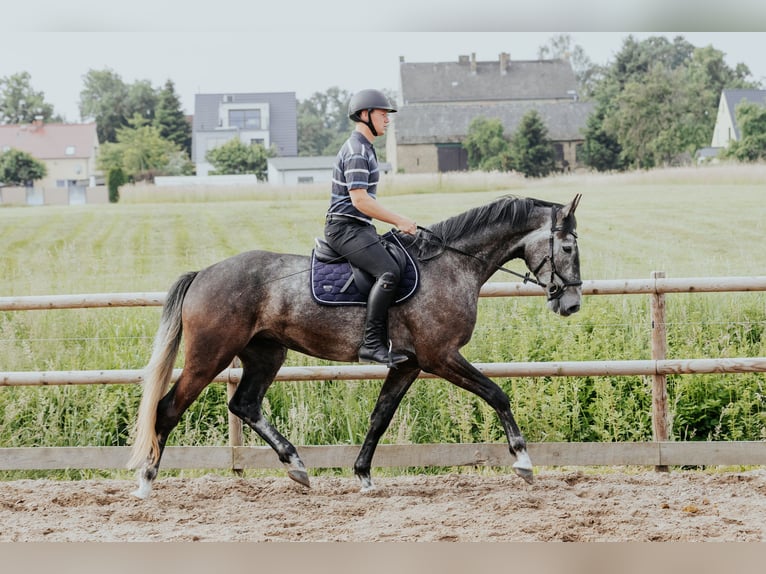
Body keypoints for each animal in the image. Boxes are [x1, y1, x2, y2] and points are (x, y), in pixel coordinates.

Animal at [127, 195, 584, 500]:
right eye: (567, 247)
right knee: (168, 409)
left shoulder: (408, 364)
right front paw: (523, 461)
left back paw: (296, 466)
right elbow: (496, 393)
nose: (572, 304)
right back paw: (146, 482)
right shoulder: (440, 357)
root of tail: (204, 273)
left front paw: (363, 474)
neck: (452, 264)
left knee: (245, 404)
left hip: (266, 354)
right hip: (209, 357)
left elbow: (380, 417)